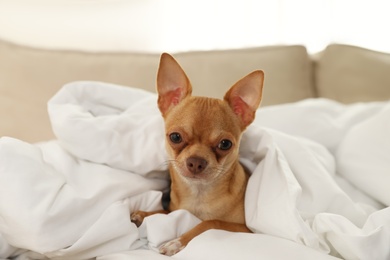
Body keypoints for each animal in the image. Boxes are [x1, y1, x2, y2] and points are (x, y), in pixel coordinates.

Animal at [132, 53, 266, 256]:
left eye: (225, 144)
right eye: (175, 137)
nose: (196, 161)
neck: (198, 195)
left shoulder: (248, 230)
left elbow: (210, 222)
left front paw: (177, 242)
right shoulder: (175, 209)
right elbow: (166, 213)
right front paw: (144, 214)